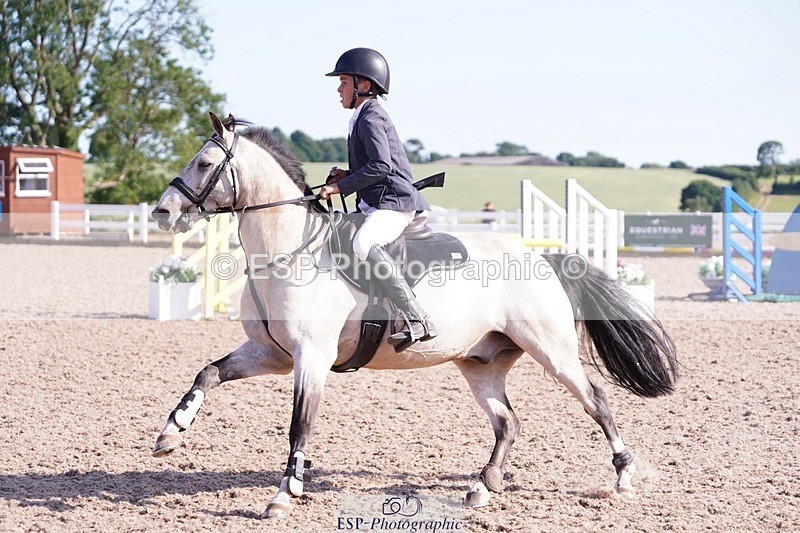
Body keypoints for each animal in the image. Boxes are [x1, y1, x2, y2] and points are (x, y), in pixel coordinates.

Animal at [151, 112, 678, 519]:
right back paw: (481, 487)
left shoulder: (311, 358)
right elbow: (208, 373)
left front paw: (284, 495)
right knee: (507, 422)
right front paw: (170, 434)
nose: (161, 212)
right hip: (481, 363)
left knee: (596, 400)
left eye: (204, 164)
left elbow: (300, 425)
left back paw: (624, 476)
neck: (287, 253)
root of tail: (542, 258)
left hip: (552, 349)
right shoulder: (270, 353)